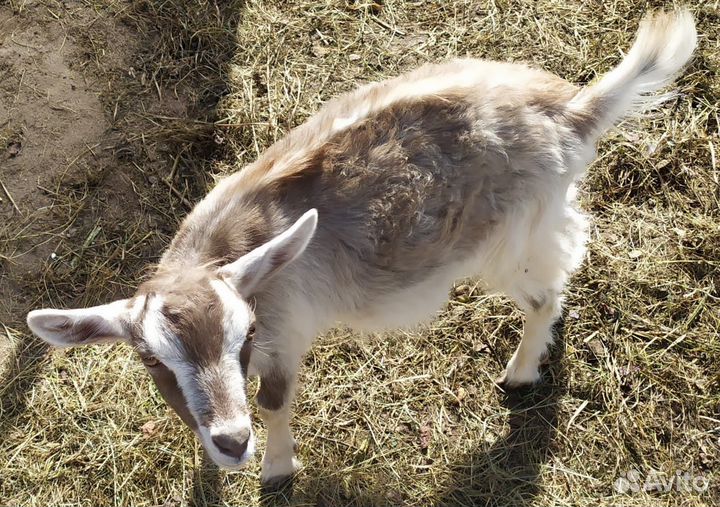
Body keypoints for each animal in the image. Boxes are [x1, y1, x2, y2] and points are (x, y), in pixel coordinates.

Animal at [27, 10, 696, 484]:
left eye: (247, 334)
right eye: (150, 359)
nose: (232, 442)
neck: (220, 246)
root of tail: (571, 112)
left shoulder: (286, 332)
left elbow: (273, 401)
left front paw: (275, 471)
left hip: (515, 236)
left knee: (546, 291)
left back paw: (522, 372)